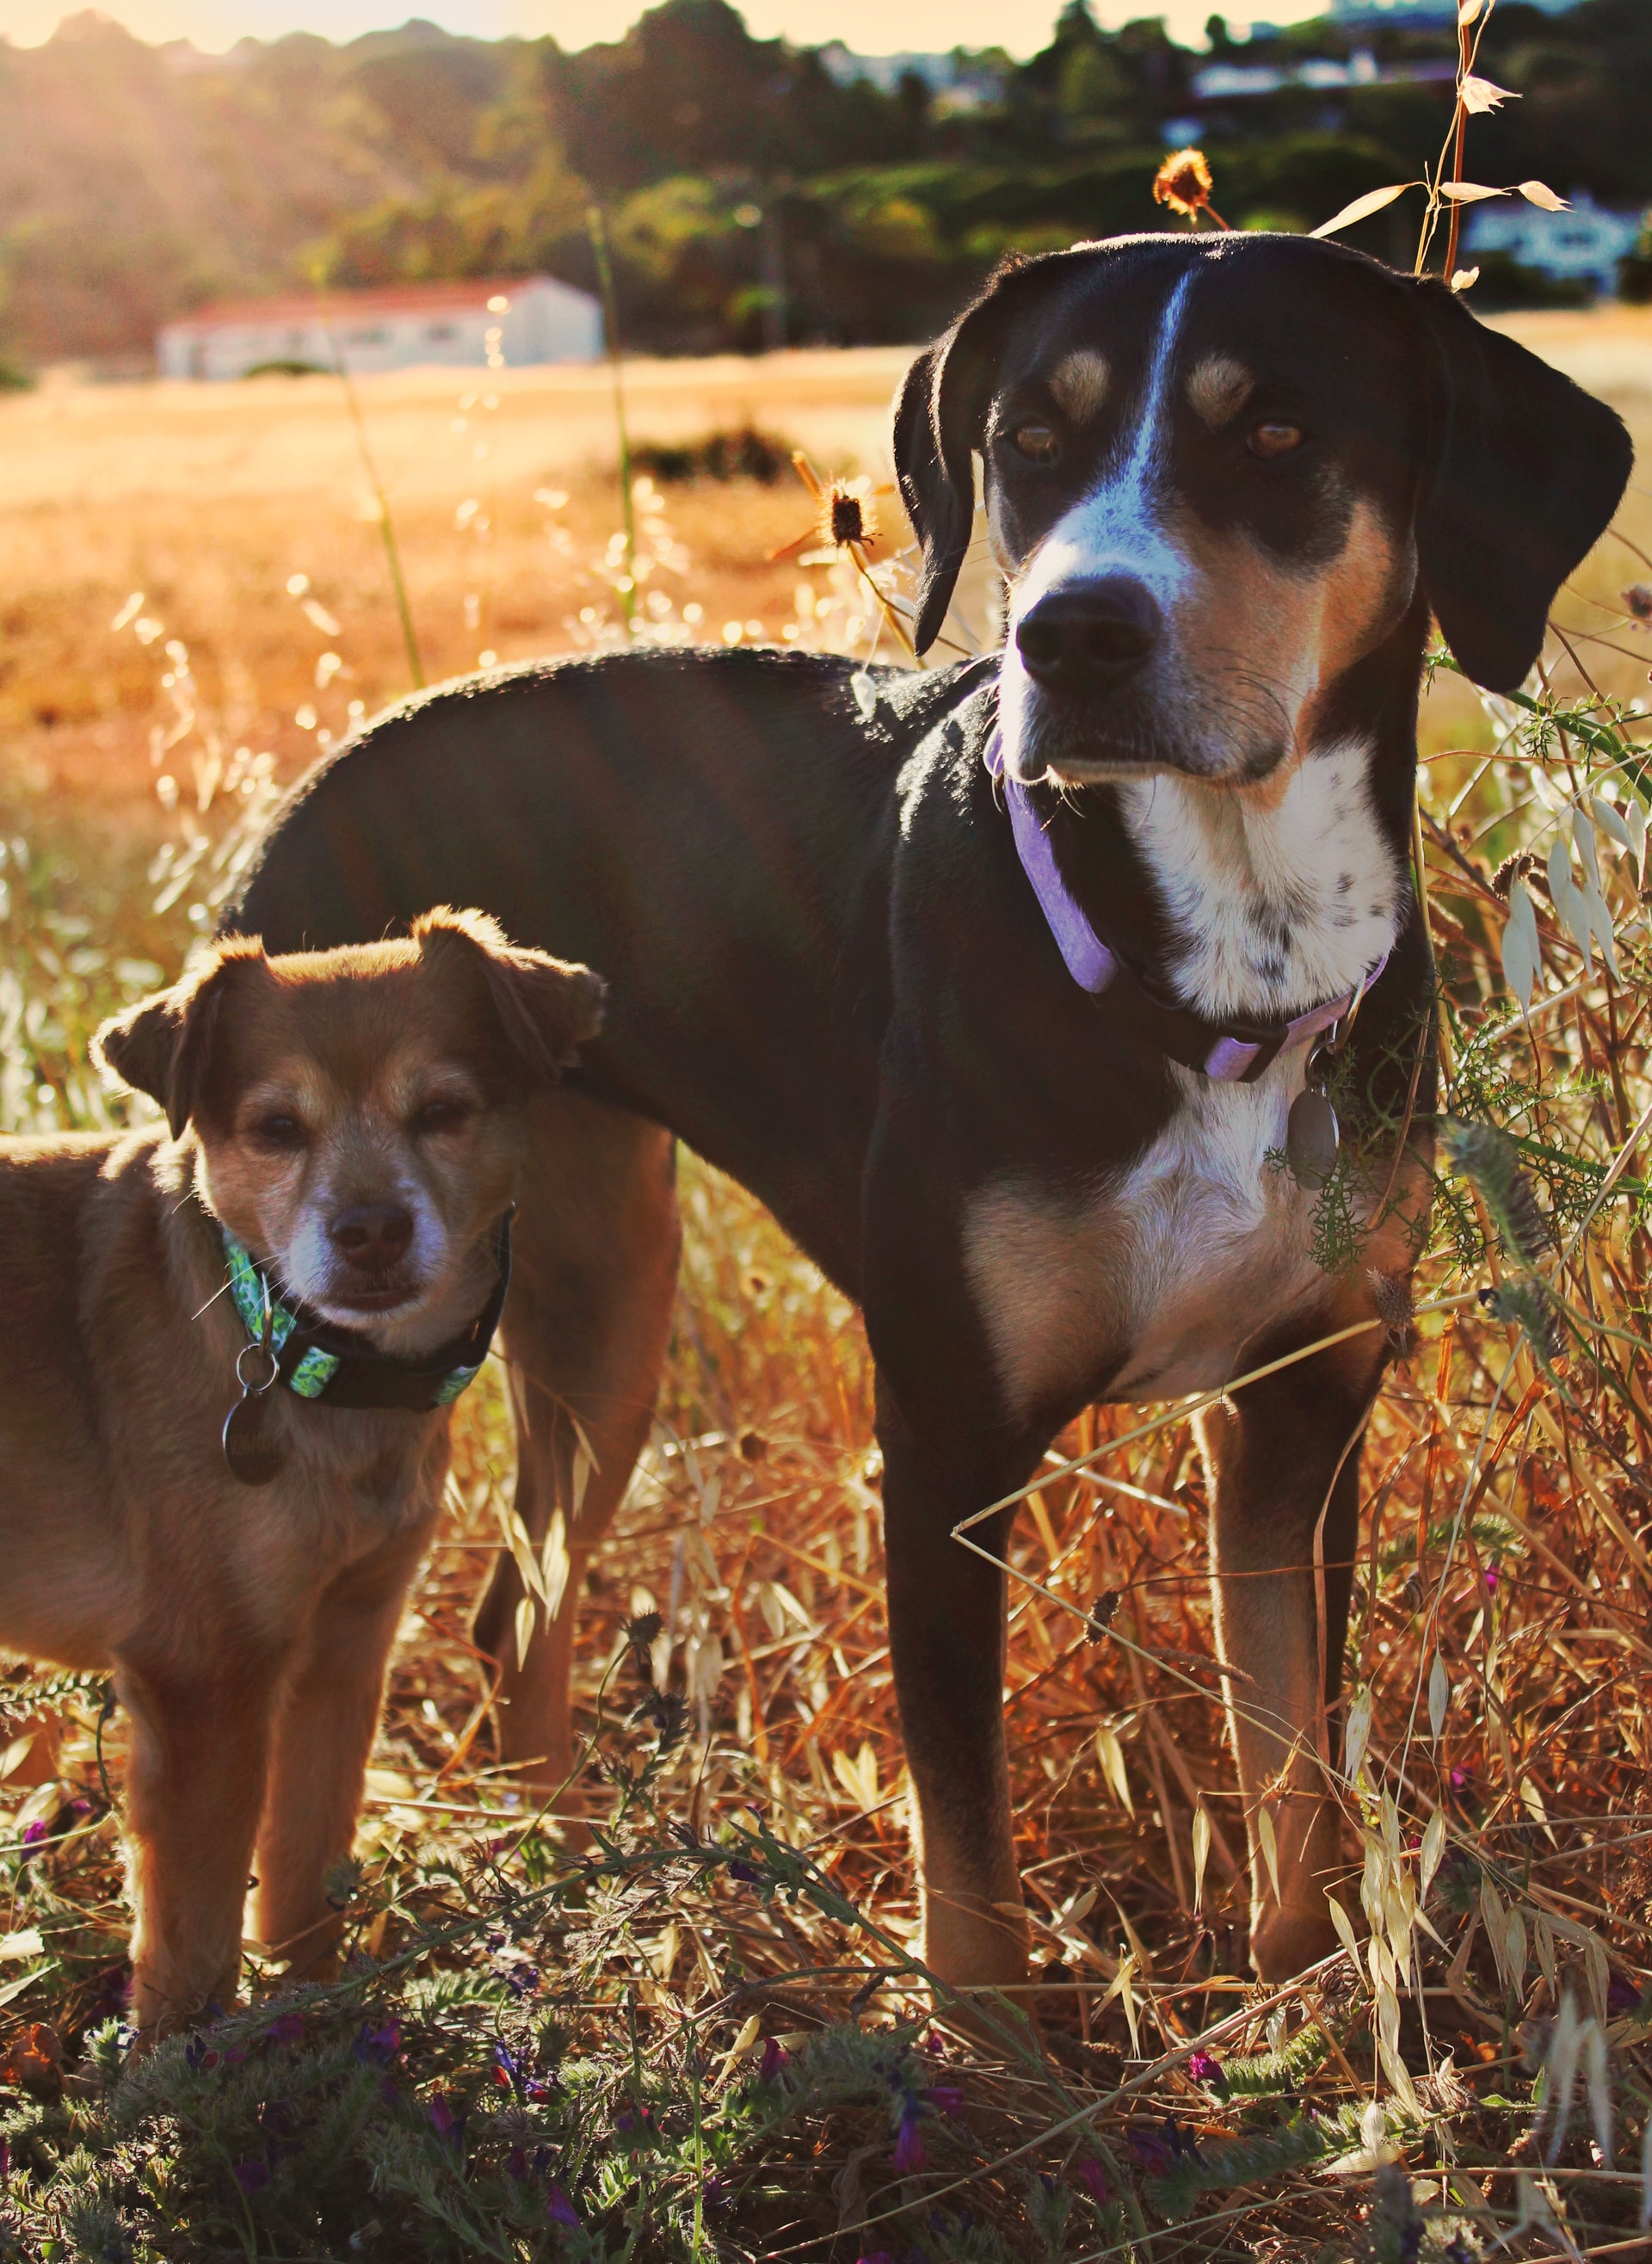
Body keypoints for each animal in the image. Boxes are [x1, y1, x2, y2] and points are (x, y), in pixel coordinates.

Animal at [0, 908, 601, 2034]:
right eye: (276, 1129)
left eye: (442, 1111)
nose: (370, 1230)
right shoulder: (204, 1681)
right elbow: (192, 1945)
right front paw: (182, 2069)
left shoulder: (345, 1644)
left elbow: (300, 1875)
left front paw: (315, 2022)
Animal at [228, 231, 1631, 1988]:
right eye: (1030, 440)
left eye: (1278, 435)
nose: (1074, 638)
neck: (1218, 971)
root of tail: (305, 792)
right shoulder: (951, 1429)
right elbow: (967, 1862)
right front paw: (1006, 2050)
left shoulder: (1302, 1409)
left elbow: (1294, 1767)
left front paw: (1308, 1995)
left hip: (604, 1286)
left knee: (520, 1610)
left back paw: (580, 1885)